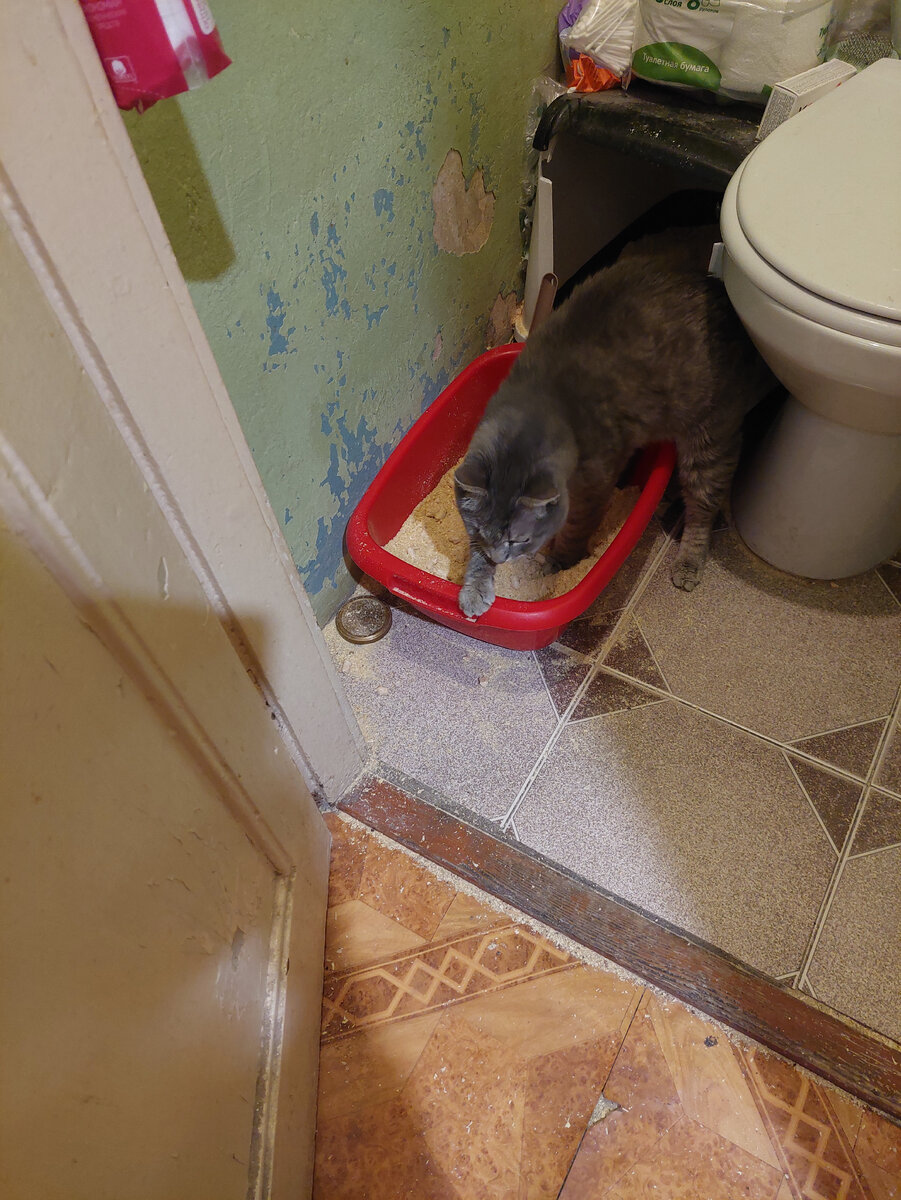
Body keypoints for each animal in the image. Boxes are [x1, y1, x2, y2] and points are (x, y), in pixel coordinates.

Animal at [454, 227, 775, 619]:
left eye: (520, 539)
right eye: (483, 533)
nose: (500, 557)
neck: (542, 400)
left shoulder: (592, 488)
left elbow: (575, 531)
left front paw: (558, 562)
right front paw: (475, 585)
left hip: (709, 441)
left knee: (703, 511)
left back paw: (687, 563)